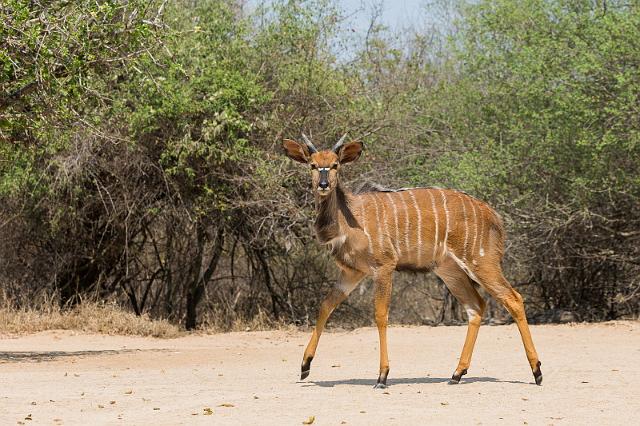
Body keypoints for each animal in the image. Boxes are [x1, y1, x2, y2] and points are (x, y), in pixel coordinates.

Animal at [282, 134, 544, 390]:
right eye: (312, 165)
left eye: (336, 165)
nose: (323, 184)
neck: (351, 217)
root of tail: (494, 216)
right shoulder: (352, 272)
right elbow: (326, 305)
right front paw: (305, 366)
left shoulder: (384, 266)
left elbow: (381, 315)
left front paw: (382, 376)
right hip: (450, 271)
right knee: (476, 306)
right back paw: (457, 374)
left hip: (481, 262)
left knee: (513, 299)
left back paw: (537, 372)